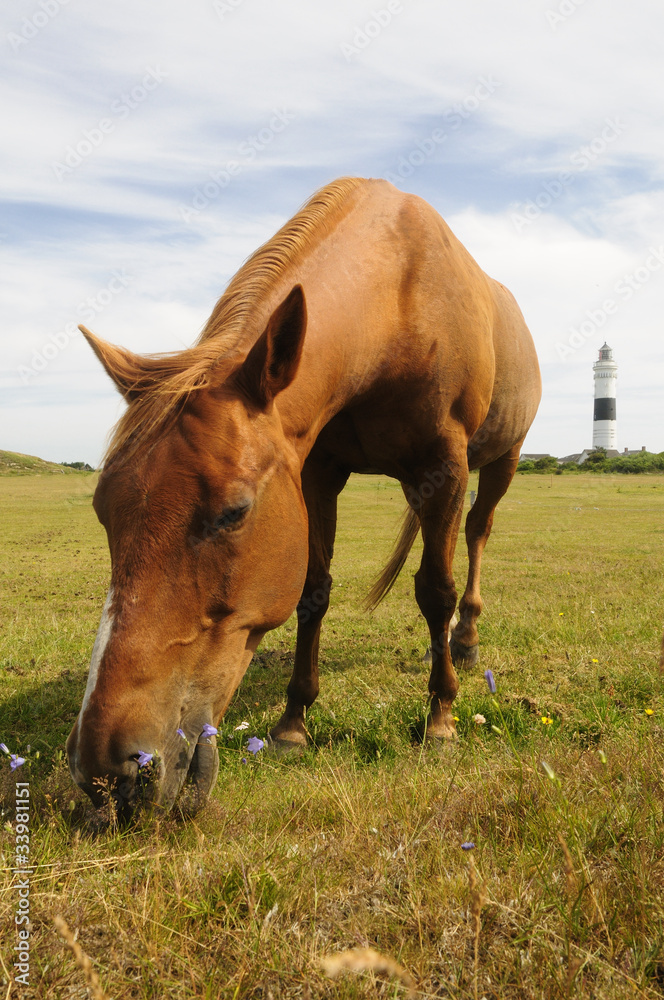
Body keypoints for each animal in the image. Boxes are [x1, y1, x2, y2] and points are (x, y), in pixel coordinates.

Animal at [66, 177, 541, 815]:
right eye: (103, 512)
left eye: (234, 512)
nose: (108, 770)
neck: (399, 299)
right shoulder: (317, 473)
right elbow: (313, 592)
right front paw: (294, 722)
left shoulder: (446, 464)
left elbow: (434, 591)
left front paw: (441, 717)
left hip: (501, 462)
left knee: (476, 534)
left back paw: (463, 640)